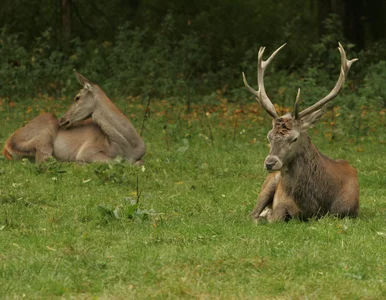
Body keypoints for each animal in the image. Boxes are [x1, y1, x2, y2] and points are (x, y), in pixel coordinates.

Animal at [1, 72, 145, 164]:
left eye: (77, 97)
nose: (62, 119)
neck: (128, 146)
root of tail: (6, 147)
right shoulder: (87, 150)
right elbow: (117, 161)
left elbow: (138, 162)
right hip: (44, 135)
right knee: (43, 161)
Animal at [243, 42, 360, 220]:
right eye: (269, 136)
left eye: (294, 138)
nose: (270, 163)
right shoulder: (281, 203)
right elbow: (273, 216)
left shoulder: (347, 210)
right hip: (270, 182)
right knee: (252, 214)